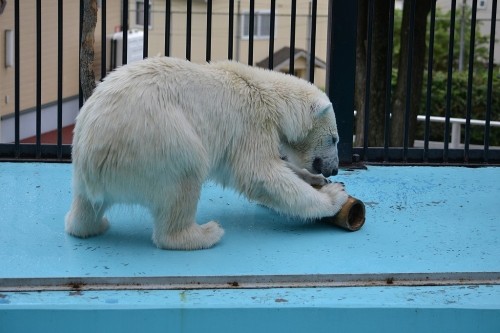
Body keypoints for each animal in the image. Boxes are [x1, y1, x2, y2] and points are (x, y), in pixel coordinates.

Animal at [65, 56, 348, 249]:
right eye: (334, 138)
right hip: (155, 140)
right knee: (185, 174)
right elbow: (259, 173)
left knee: (86, 206)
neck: (265, 92)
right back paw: (204, 233)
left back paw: (90, 225)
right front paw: (334, 197)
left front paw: (316, 179)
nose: (334, 168)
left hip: (92, 170)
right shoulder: (250, 123)